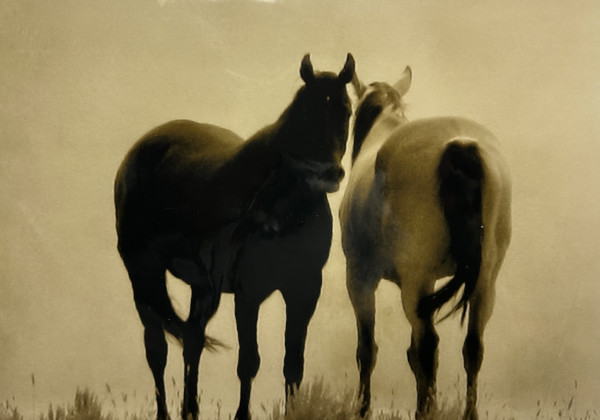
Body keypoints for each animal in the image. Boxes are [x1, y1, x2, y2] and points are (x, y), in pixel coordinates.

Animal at [115, 53, 354, 420]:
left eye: (347, 110)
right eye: (306, 111)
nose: (330, 173)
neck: (282, 204)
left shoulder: (303, 289)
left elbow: (293, 364)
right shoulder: (248, 291)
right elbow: (249, 362)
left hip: (201, 288)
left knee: (192, 341)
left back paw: (190, 411)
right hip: (144, 272)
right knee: (157, 349)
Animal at [340, 67, 512, 418]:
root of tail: (459, 143)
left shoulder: (360, 278)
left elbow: (367, 349)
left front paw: (362, 409)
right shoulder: (430, 281)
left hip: (413, 282)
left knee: (428, 347)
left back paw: (427, 410)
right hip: (484, 280)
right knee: (472, 346)